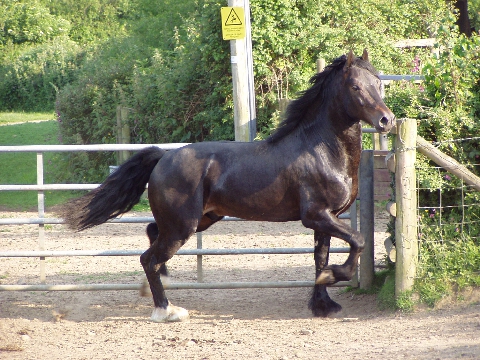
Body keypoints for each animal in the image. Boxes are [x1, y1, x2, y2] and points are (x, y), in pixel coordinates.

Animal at [61, 49, 394, 322]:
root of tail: (163, 157)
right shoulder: (316, 216)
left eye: (379, 84)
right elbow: (358, 240)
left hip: (198, 220)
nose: (386, 120)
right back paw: (166, 310)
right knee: (149, 258)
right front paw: (333, 277)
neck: (320, 150)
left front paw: (323, 303)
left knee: (152, 236)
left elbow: (320, 257)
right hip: (183, 226)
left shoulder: (325, 220)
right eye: (355, 87)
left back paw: (161, 287)